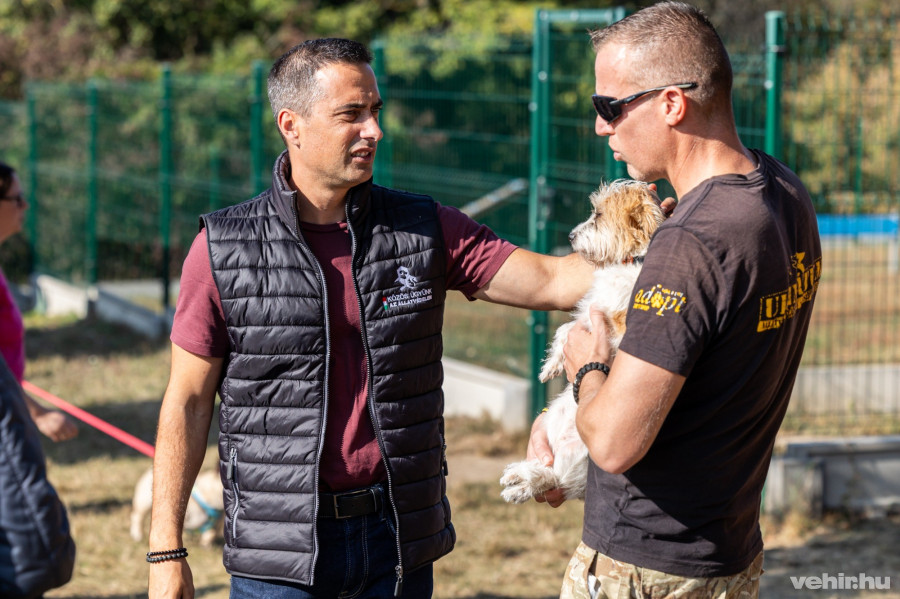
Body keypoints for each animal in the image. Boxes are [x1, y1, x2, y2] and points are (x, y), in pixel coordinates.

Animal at [500, 179, 664, 504]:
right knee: (549, 473)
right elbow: (565, 329)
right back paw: (518, 476)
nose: (570, 235)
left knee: (553, 478)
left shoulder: (616, 322)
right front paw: (550, 366)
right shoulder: (590, 312)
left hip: (581, 456)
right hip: (553, 424)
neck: (634, 259)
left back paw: (523, 481)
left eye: (598, 215)